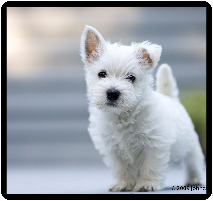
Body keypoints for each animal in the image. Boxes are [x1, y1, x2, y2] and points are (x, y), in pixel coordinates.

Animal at [79, 25, 205, 192]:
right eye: (102, 74)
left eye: (131, 77)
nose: (112, 92)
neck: (123, 116)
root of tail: (170, 98)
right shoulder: (113, 149)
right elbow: (122, 168)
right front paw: (123, 183)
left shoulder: (155, 145)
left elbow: (150, 166)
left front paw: (147, 183)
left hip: (191, 144)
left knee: (193, 162)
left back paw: (195, 180)